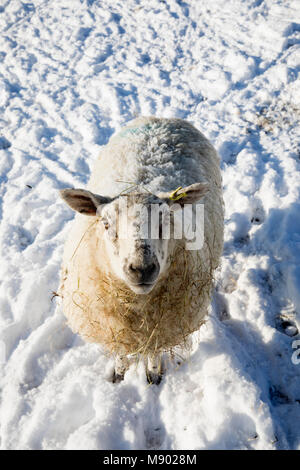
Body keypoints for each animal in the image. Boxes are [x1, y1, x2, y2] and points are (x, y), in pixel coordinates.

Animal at [59, 115, 223, 384]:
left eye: (166, 221)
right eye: (106, 224)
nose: (142, 269)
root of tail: (161, 118)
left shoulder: (160, 327)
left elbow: (154, 351)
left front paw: (153, 375)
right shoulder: (114, 325)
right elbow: (120, 351)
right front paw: (118, 373)